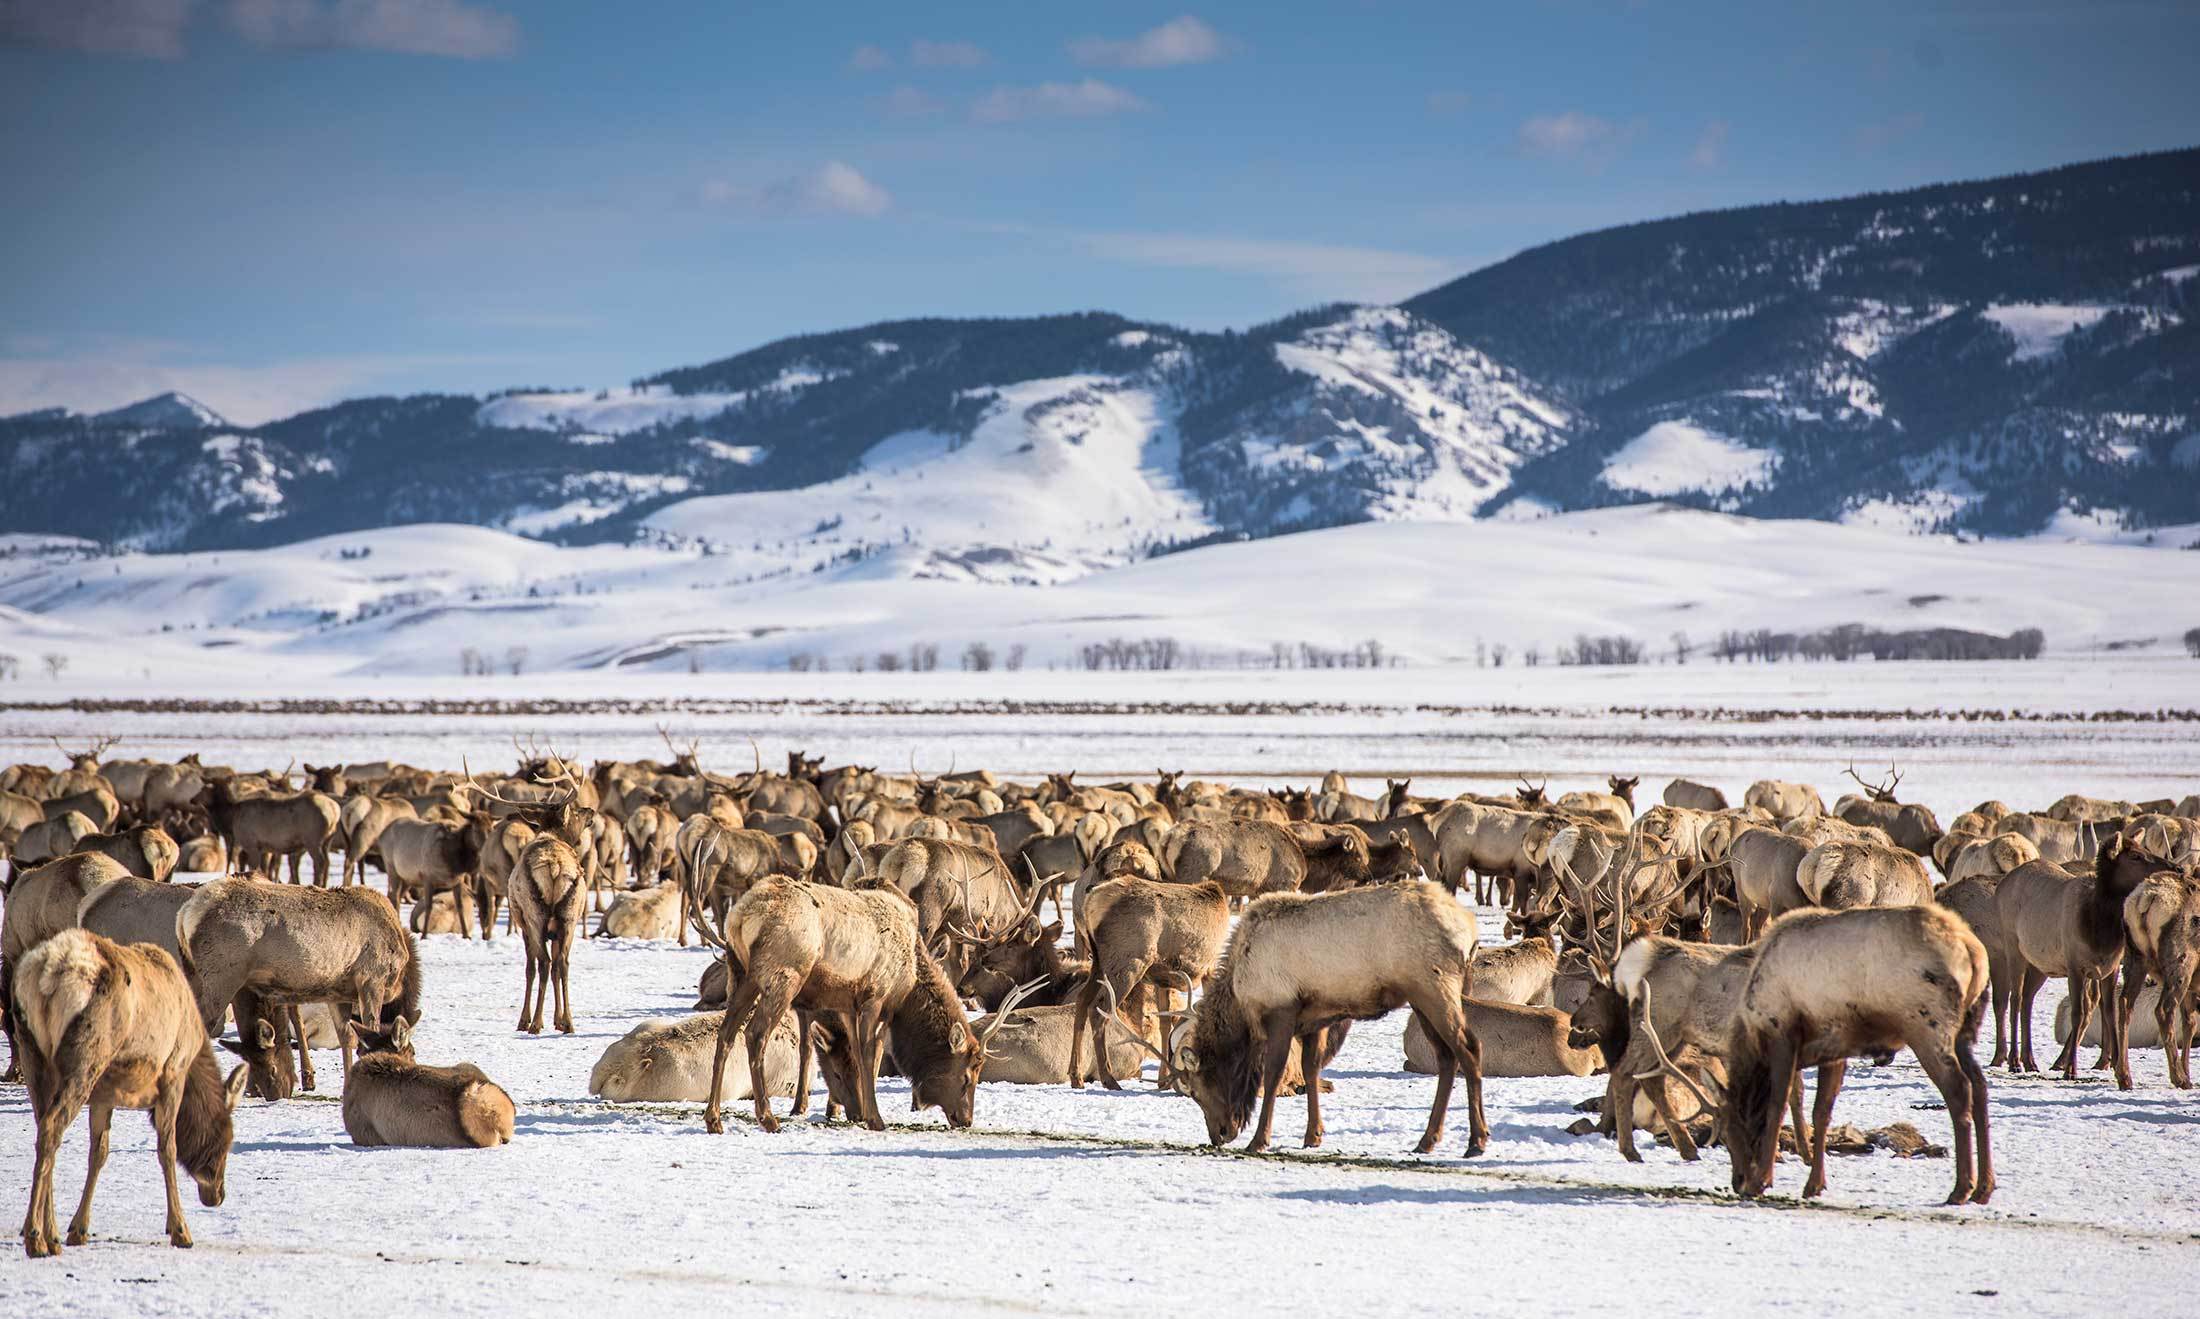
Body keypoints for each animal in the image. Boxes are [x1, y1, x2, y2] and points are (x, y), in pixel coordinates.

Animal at [12, 927, 248, 1257]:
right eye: (226, 1137)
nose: (217, 1193)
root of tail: (47, 976)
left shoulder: (103, 1095)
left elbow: (98, 1153)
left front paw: (78, 1230)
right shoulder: (173, 1071)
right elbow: (167, 1149)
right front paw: (180, 1230)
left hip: (33, 1053)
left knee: (43, 1128)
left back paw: (51, 1236)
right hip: (86, 1056)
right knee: (51, 1128)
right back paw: (36, 1238)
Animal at [1170, 888, 1496, 1151]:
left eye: (1195, 1090)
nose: (1219, 1135)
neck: (1241, 999)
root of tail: (1470, 930)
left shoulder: (1281, 1011)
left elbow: (1273, 1074)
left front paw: (1259, 1140)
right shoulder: (1314, 1018)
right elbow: (1310, 1070)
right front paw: (1312, 1136)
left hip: (1433, 989)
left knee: (1469, 1048)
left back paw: (1476, 1140)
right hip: (1421, 1001)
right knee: (1446, 1057)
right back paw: (1428, 1140)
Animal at [1716, 905, 1997, 1204]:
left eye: (1729, 1133)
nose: (1738, 1182)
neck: (1753, 1032)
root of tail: (1973, 952)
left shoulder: (1782, 1033)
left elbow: (1776, 1107)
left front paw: (1761, 1180)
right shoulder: (1833, 1048)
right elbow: (1821, 1113)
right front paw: (1814, 1184)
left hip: (1927, 1028)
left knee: (1959, 1089)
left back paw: (1961, 1188)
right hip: (1965, 1032)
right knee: (1979, 1086)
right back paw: (1984, 1187)